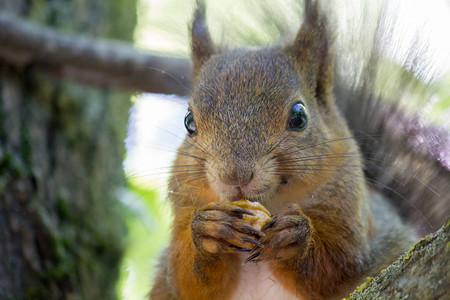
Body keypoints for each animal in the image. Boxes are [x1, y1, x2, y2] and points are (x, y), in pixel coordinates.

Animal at [149, 0, 448, 300]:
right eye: (189, 121)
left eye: (299, 116)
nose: (234, 176)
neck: (272, 202)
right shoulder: (186, 203)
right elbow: (187, 280)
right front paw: (209, 230)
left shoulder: (348, 209)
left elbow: (337, 264)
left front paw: (294, 237)